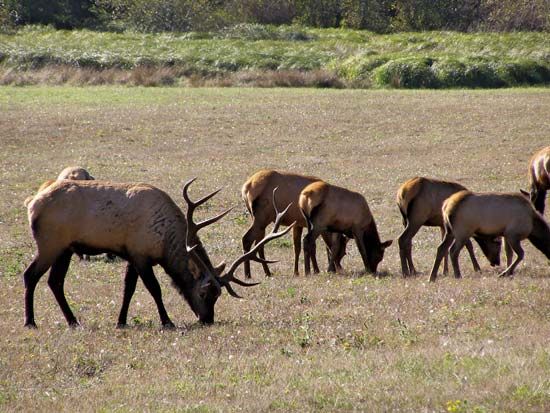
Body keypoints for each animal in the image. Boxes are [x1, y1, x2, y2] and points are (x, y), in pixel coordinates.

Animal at [23, 179, 296, 326]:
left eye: (219, 295)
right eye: (204, 292)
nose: (207, 319)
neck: (165, 242)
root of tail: (32, 203)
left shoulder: (132, 254)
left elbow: (128, 289)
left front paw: (121, 321)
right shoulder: (141, 255)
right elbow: (154, 289)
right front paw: (167, 321)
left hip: (65, 249)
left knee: (55, 281)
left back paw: (73, 321)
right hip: (49, 243)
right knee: (30, 275)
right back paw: (31, 321)